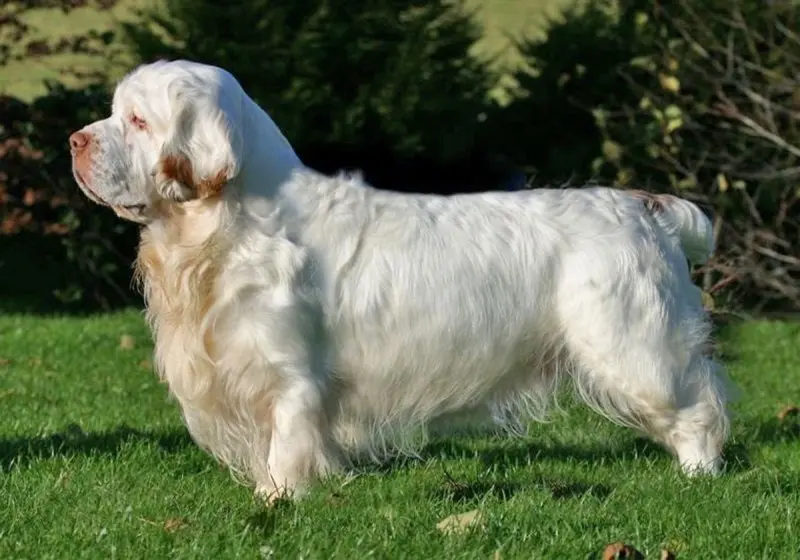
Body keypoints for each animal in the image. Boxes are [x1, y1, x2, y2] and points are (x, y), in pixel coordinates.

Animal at [69, 61, 732, 504]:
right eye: (115, 113)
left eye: (138, 120)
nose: (74, 140)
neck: (226, 229)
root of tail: (645, 206)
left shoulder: (289, 374)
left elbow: (286, 443)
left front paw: (277, 501)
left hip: (634, 346)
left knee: (699, 407)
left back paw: (699, 477)